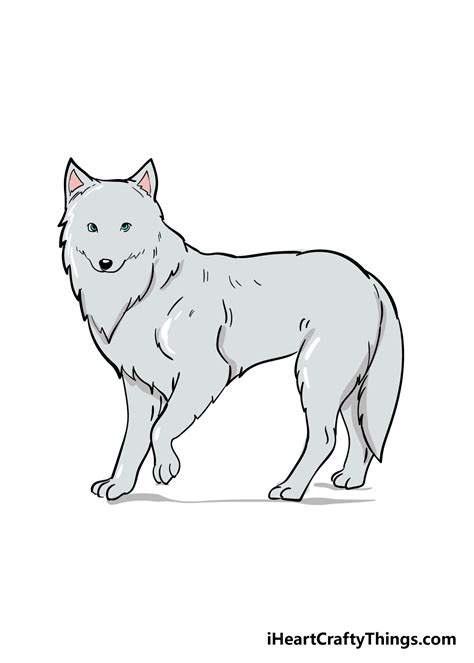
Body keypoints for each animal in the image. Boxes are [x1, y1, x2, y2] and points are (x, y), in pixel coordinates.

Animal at [59, 158, 404, 502]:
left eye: (126, 227)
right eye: (92, 227)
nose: (105, 263)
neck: (143, 291)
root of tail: (369, 276)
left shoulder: (204, 374)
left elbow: (160, 429)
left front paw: (166, 467)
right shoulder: (139, 385)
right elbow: (132, 440)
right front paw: (119, 486)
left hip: (316, 377)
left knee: (325, 438)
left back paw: (291, 488)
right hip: (347, 387)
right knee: (359, 433)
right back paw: (350, 479)